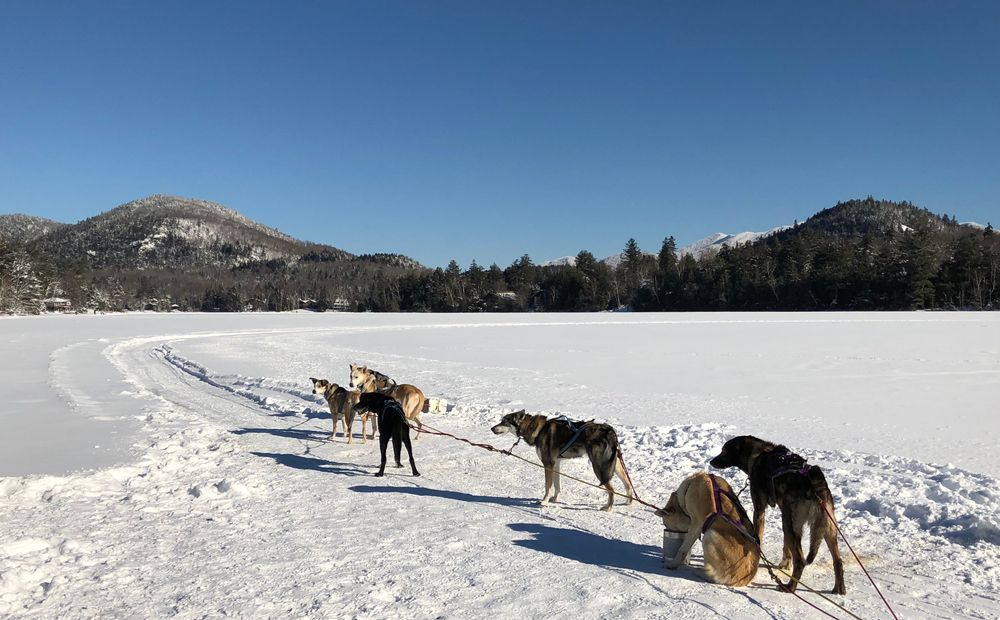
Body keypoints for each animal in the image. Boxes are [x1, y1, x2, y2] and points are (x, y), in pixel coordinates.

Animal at [712, 434, 844, 592]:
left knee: (800, 560)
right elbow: (786, 546)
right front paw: (785, 564)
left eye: (724, 451)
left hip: (793, 525)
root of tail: (814, 485)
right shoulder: (784, 513)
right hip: (827, 527)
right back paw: (839, 589)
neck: (759, 453)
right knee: (838, 560)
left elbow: (758, 536)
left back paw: (790, 586)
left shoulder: (760, 509)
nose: (711, 461)